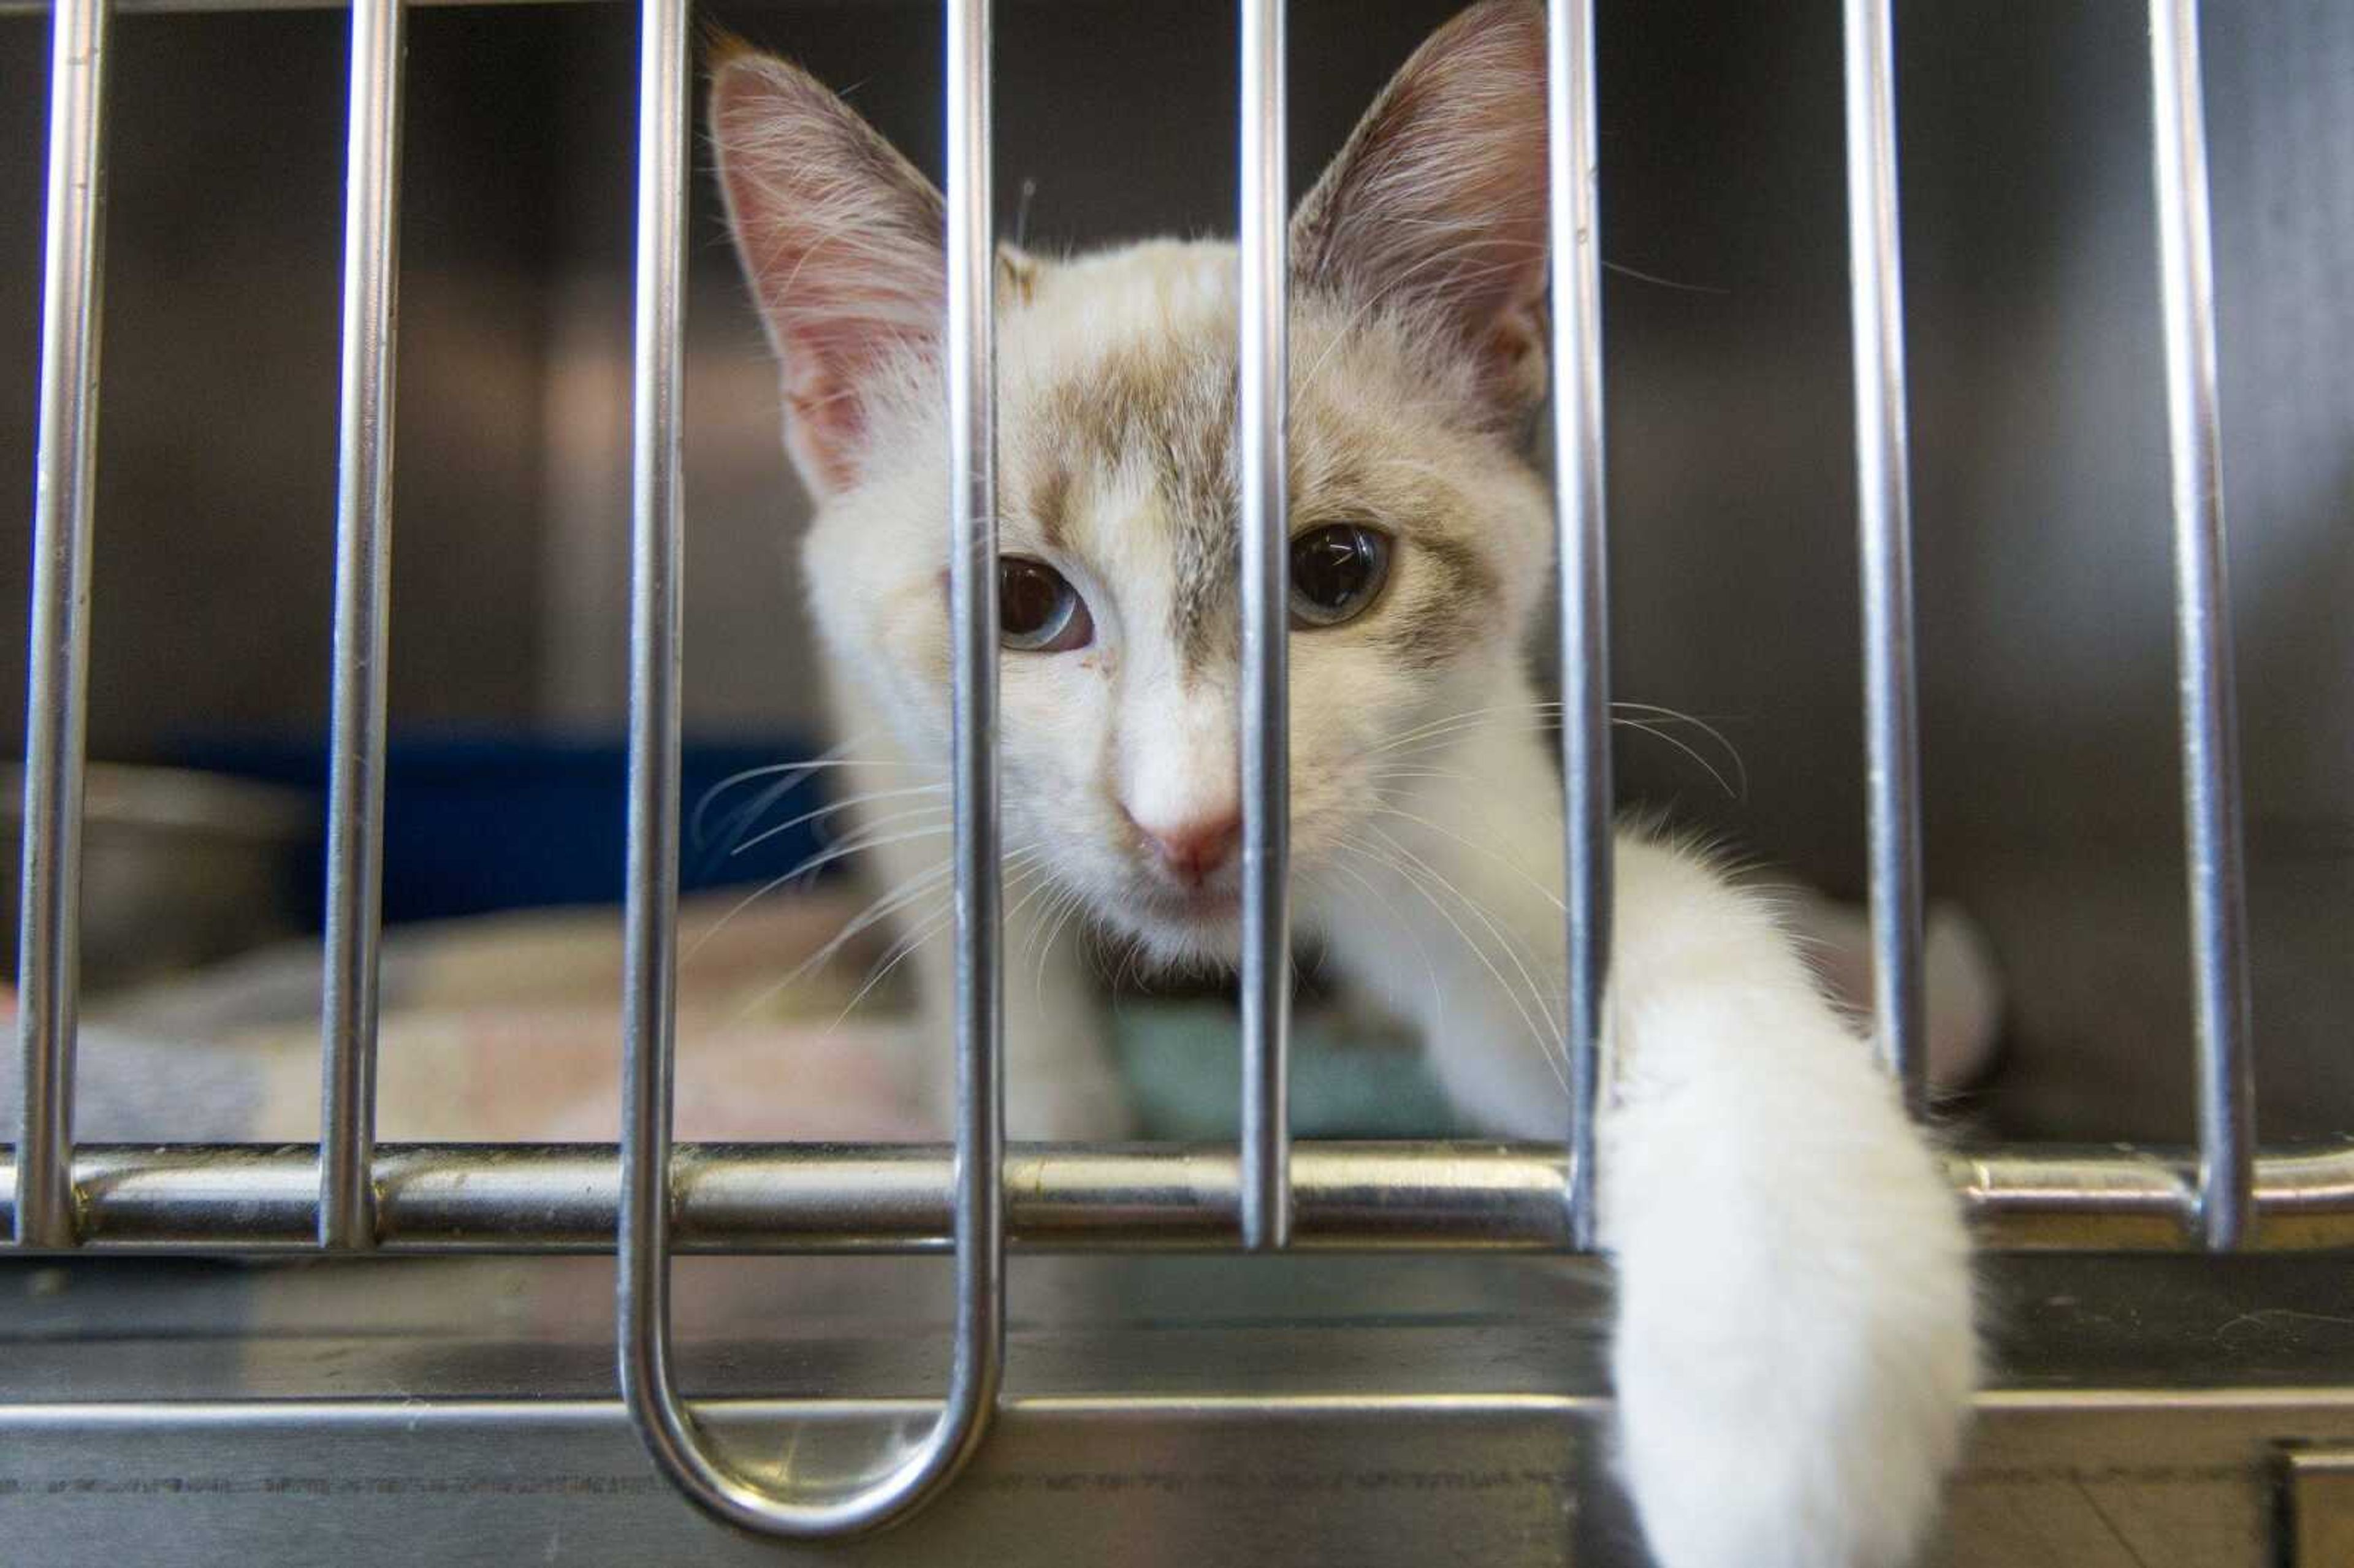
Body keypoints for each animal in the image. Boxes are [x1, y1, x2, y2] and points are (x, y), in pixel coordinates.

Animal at [706, 2, 1977, 1563]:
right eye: (1019, 604)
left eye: (1334, 573)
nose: (1191, 822)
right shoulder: (919, 784)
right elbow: (1002, 995)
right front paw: (1049, 1144)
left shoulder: (1477, 858)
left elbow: (1683, 979)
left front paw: (1790, 1387)